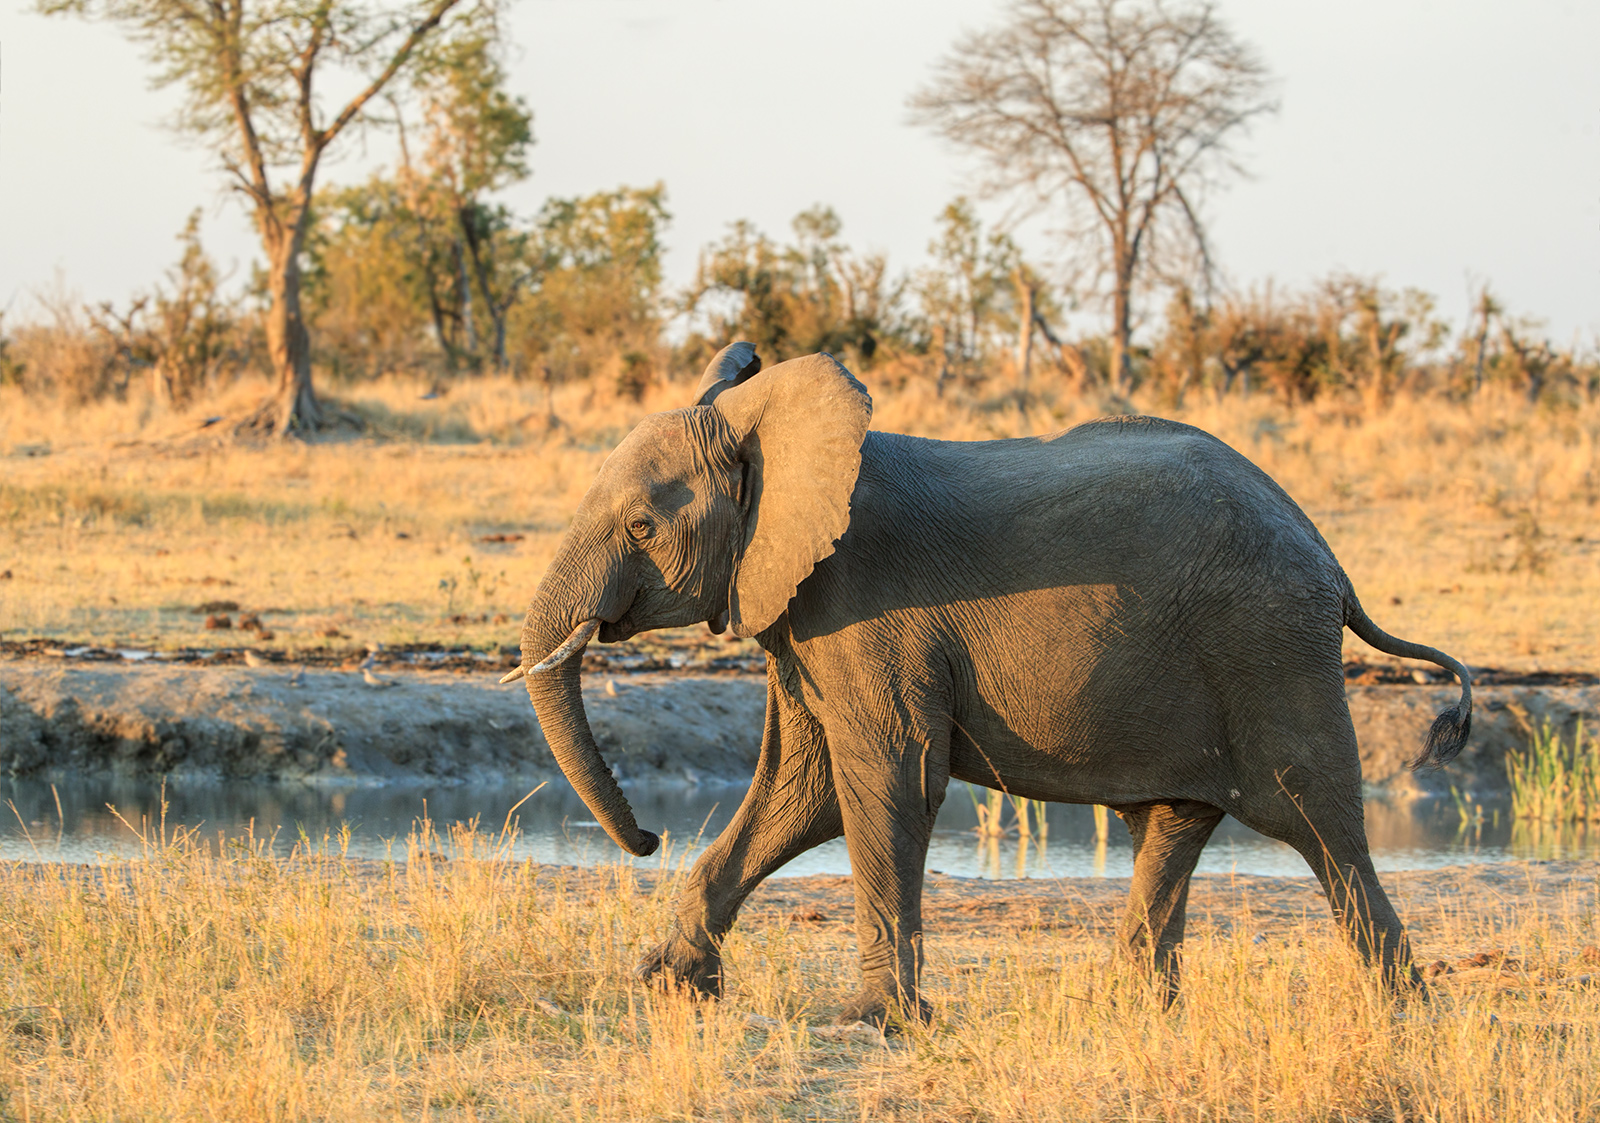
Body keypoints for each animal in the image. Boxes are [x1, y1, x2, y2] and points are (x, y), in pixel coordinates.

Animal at [505, 342, 1472, 1025]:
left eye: (641, 525)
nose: (647, 836)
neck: (768, 435)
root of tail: (1332, 560)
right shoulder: (802, 616)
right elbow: (799, 792)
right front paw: (668, 983)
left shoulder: (864, 604)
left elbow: (887, 779)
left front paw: (873, 1021)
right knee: (1174, 824)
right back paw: (1133, 1011)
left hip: (1270, 646)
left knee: (1319, 819)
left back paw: (1406, 1013)